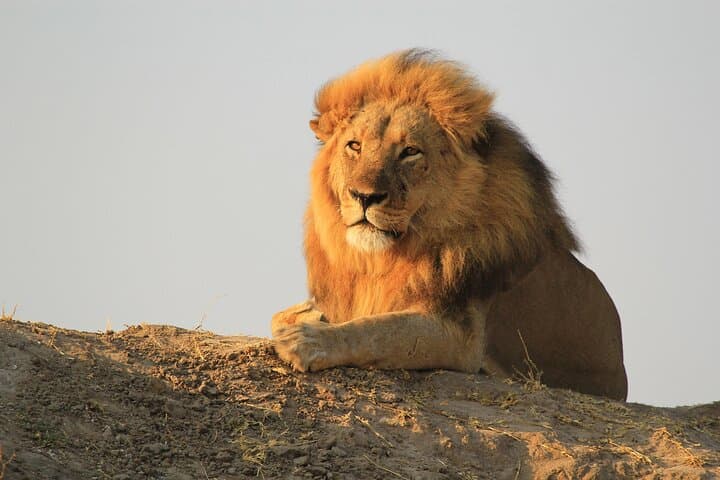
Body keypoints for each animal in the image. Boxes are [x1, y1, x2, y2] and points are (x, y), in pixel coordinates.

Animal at [272, 50, 628, 400]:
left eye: (410, 152)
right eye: (354, 146)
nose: (364, 196)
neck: (383, 261)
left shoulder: (462, 336)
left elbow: (377, 329)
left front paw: (307, 340)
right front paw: (305, 316)